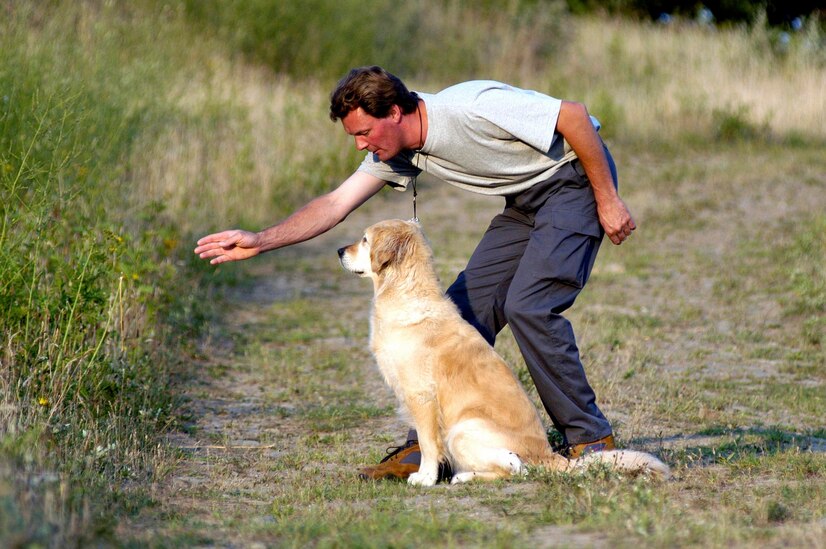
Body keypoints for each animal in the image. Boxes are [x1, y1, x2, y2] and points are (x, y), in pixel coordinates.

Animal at [338, 218, 668, 484]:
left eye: (365, 239)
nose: (340, 250)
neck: (406, 292)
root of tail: (551, 456)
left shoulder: (422, 396)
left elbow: (428, 444)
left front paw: (425, 478)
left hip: (464, 427)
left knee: (515, 468)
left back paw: (464, 476)